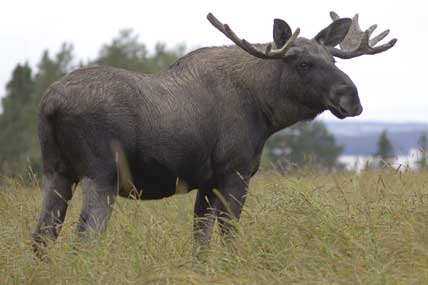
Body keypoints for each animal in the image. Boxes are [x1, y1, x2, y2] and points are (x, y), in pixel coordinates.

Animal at [31, 12, 396, 254]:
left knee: (41, 236)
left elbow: (200, 243)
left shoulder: (205, 183)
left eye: (334, 60)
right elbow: (229, 236)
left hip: (56, 171)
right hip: (102, 173)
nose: (352, 98)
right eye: (303, 64)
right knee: (83, 237)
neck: (265, 111)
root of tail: (50, 104)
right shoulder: (235, 173)